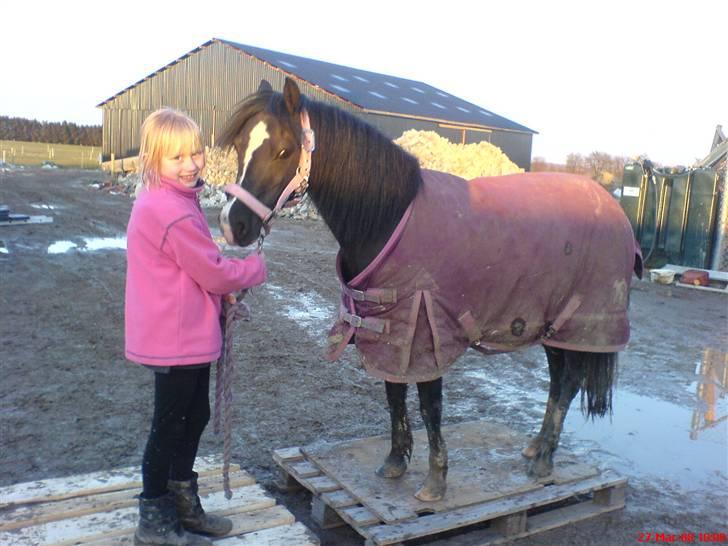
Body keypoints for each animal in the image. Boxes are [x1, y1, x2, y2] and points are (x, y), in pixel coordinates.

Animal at [218, 77, 644, 502]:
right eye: (239, 146)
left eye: (284, 150)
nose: (232, 225)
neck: (389, 216)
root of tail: (614, 208)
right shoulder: (390, 330)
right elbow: (393, 394)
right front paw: (395, 462)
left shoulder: (425, 330)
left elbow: (429, 406)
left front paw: (435, 481)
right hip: (552, 324)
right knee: (558, 381)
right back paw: (536, 447)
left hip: (579, 323)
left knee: (568, 383)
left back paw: (543, 463)